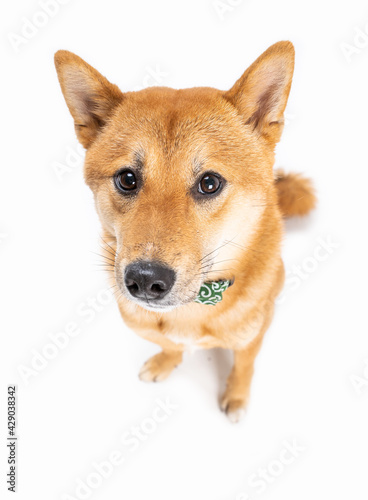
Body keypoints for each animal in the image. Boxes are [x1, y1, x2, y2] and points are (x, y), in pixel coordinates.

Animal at [55, 42, 316, 422]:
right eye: (127, 179)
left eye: (209, 183)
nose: (146, 279)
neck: (193, 308)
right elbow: (169, 344)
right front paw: (166, 361)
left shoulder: (252, 337)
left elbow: (244, 365)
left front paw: (237, 395)